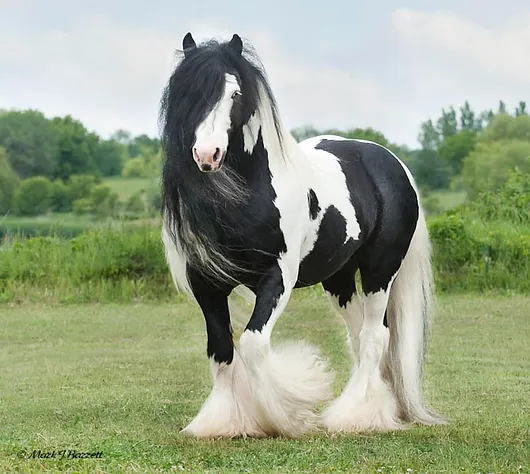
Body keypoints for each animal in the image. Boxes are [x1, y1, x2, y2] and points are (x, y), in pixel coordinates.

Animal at [158, 32, 442, 440]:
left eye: (235, 93)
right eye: (186, 92)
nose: (207, 155)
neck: (250, 195)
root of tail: (392, 162)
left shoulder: (277, 277)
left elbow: (253, 344)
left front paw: (285, 415)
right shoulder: (206, 283)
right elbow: (222, 349)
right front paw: (222, 422)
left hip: (380, 270)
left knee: (375, 336)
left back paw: (355, 416)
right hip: (339, 278)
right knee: (358, 335)